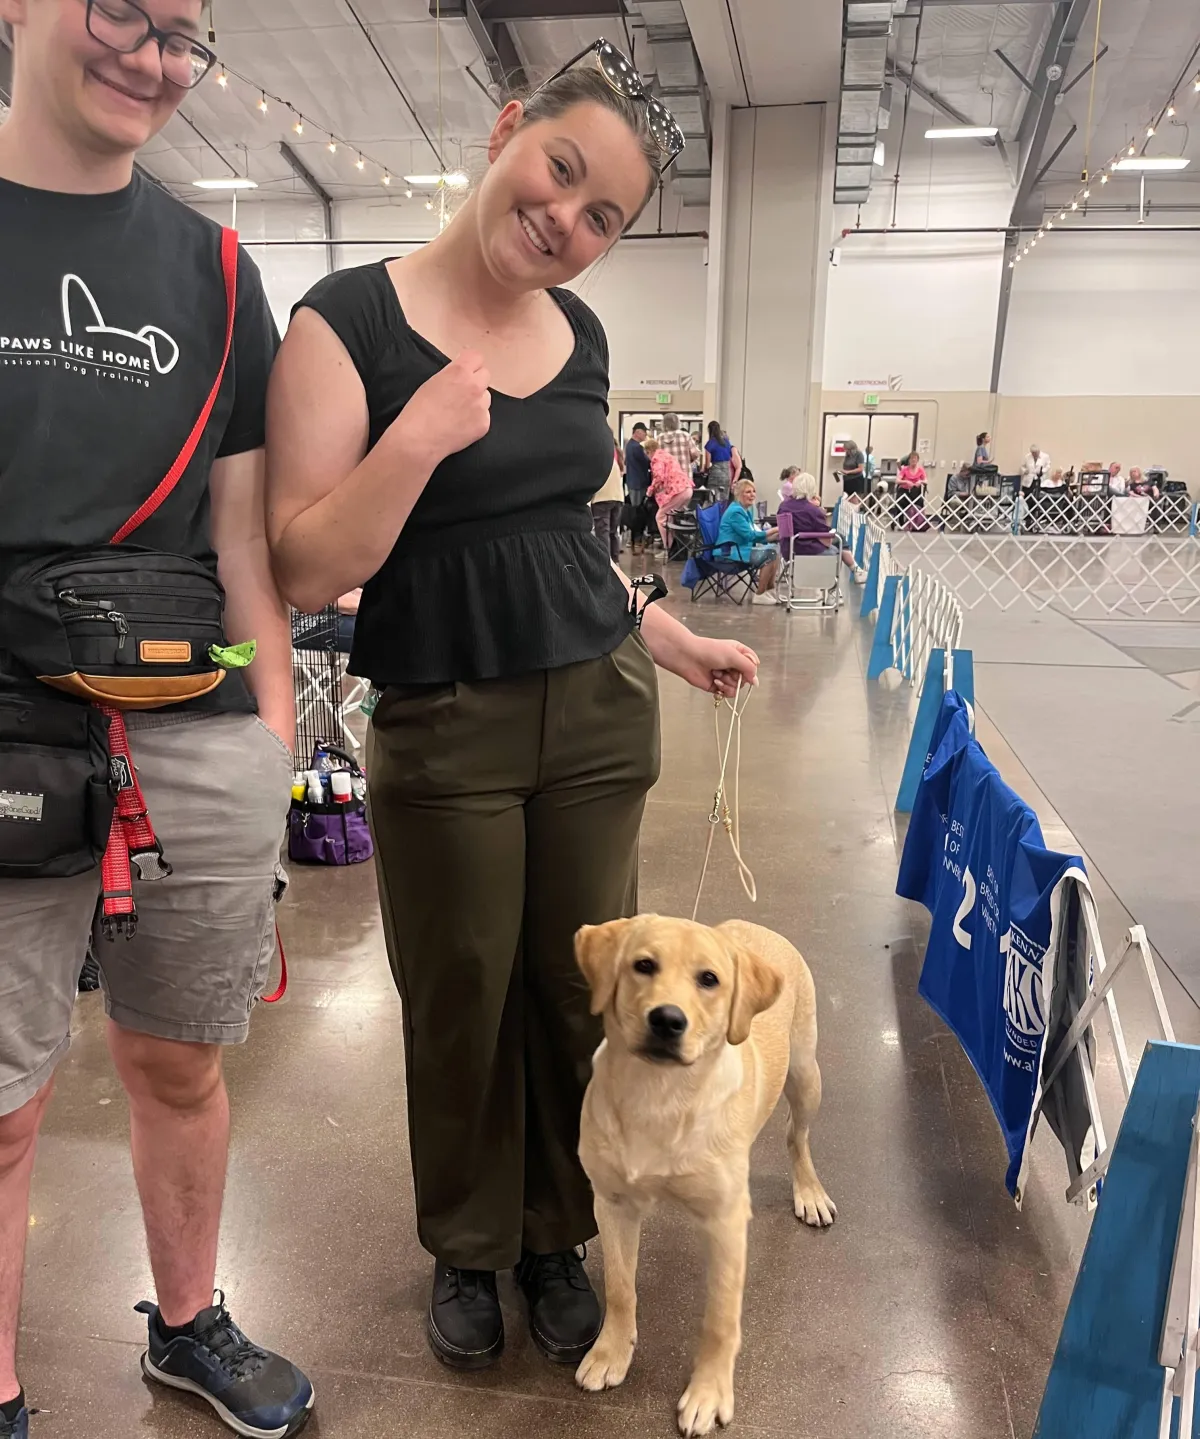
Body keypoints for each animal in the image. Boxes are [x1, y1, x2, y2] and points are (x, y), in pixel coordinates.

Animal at [573, 915, 835, 1437]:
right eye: (643, 965)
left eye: (709, 979)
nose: (667, 1020)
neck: (659, 1094)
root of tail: (754, 925)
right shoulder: (612, 1204)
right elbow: (620, 1288)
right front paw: (611, 1354)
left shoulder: (726, 1222)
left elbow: (720, 1318)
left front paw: (708, 1394)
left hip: (805, 1075)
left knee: (797, 1136)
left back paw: (810, 1191)